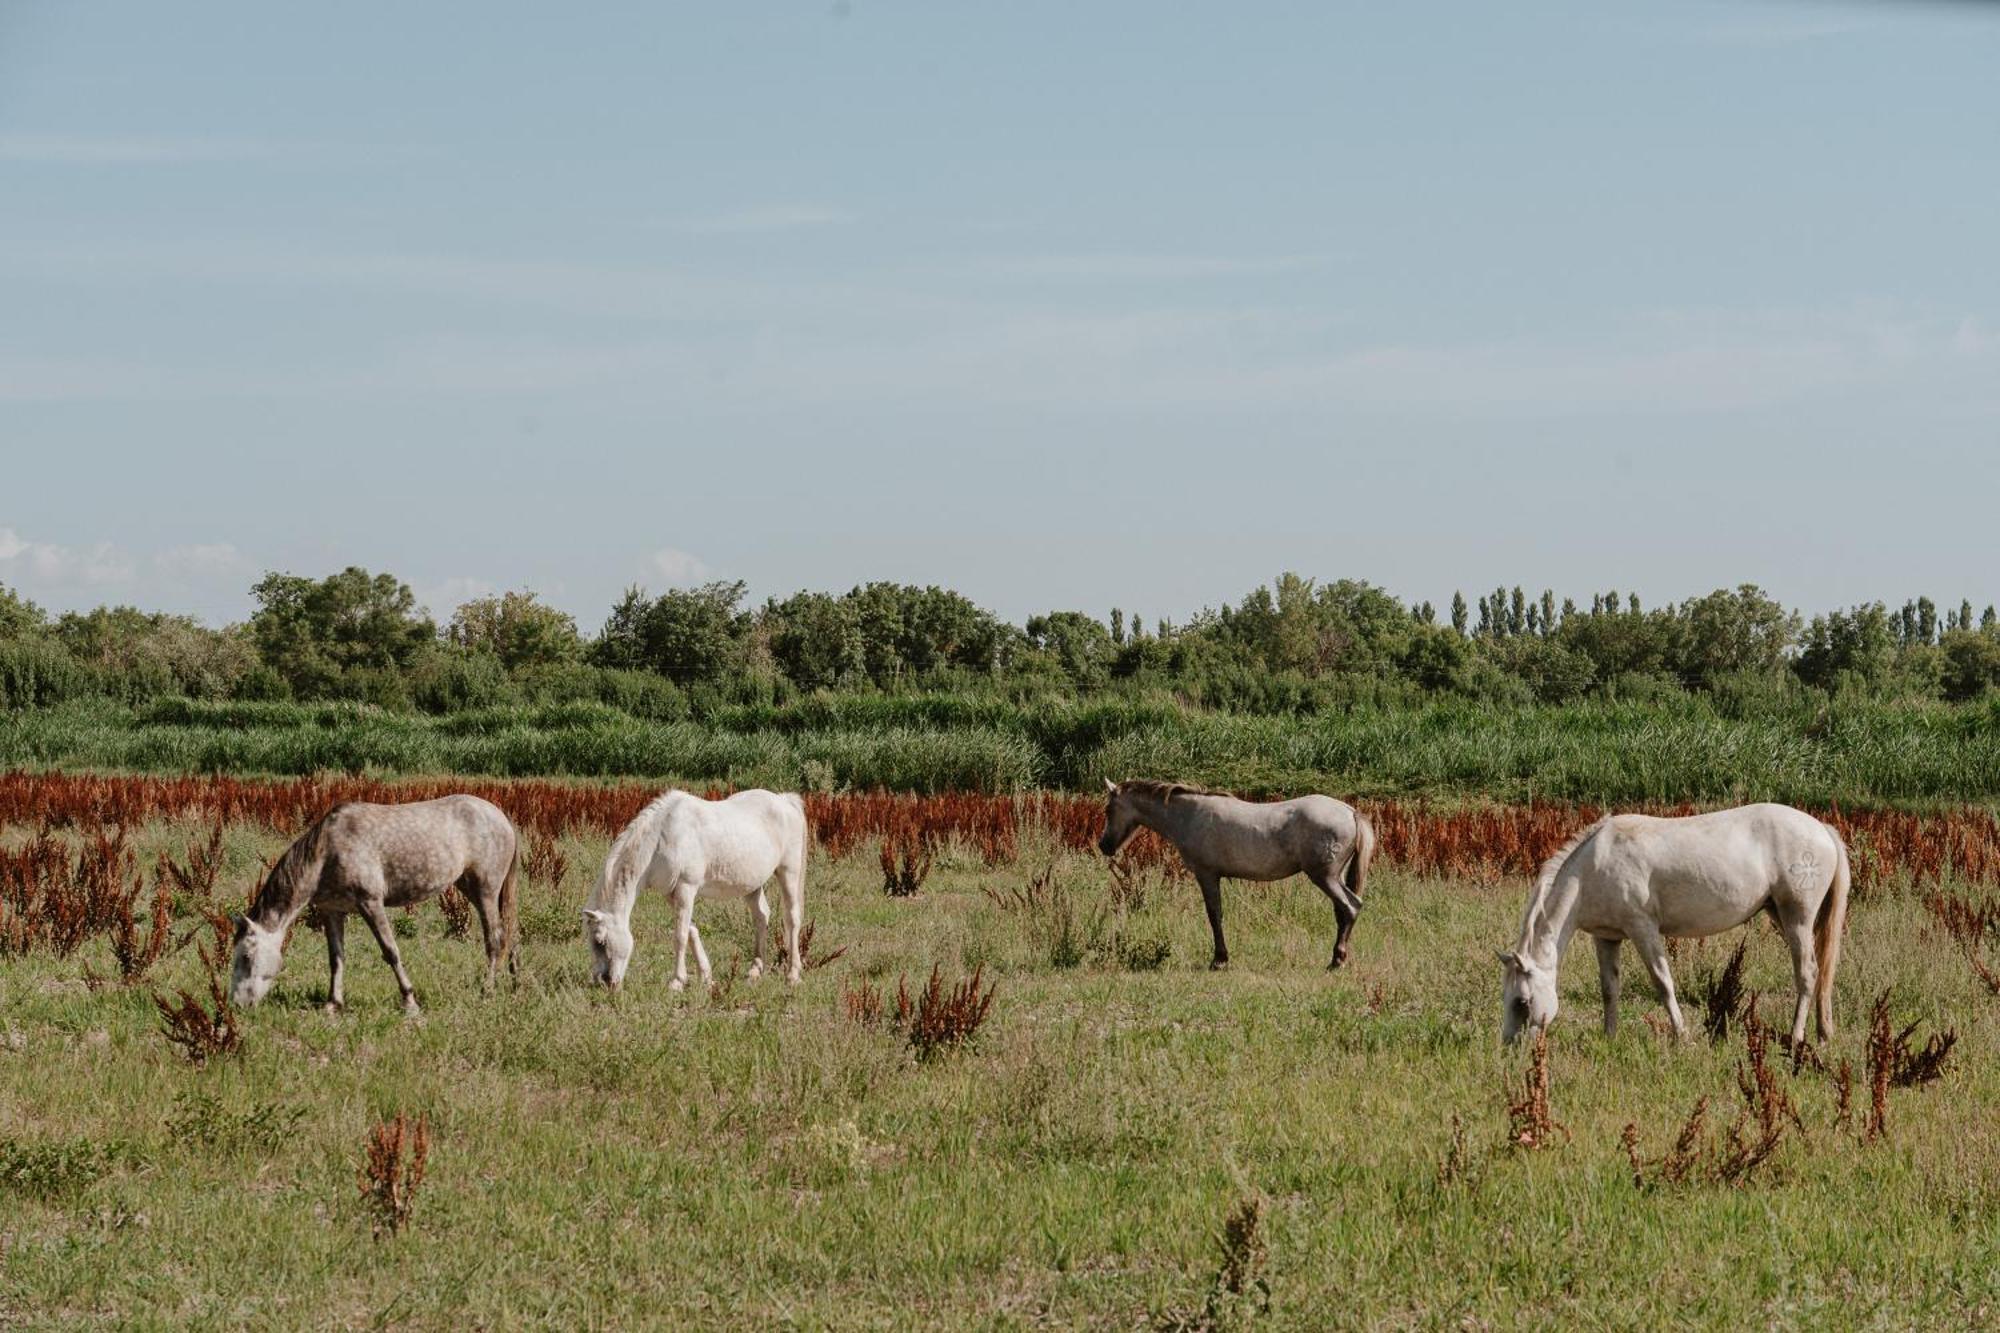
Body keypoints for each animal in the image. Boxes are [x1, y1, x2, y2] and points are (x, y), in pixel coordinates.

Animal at [230, 792, 520, 1012]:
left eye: (246, 956)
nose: (237, 1004)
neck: (328, 852)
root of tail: (501, 817)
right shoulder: (332, 911)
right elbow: (336, 958)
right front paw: (333, 1004)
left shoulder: (370, 903)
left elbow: (391, 951)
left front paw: (410, 1002)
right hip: (473, 889)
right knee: (510, 934)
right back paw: (516, 984)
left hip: (485, 891)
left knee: (495, 940)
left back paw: (487, 991)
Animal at [580, 788, 804, 984]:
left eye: (600, 941)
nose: (604, 982)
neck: (663, 836)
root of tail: (785, 801)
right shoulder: (672, 894)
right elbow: (691, 930)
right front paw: (706, 976)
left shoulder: (686, 888)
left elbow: (679, 936)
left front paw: (677, 981)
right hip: (752, 885)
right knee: (761, 917)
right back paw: (755, 971)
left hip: (789, 872)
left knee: (792, 918)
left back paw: (793, 975)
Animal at [1096, 780, 1376, 964]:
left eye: (1108, 810)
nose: (1104, 846)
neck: (1189, 815)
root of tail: (1350, 811)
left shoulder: (1207, 875)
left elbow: (1214, 915)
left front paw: (1219, 959)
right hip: (1335, 877)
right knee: (1343, 913)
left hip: (1325, 877)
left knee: (1351, 907)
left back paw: (1337, 960)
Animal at [1504, 800, 1840, 1048]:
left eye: (1522, 1001)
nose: (1510, 1046)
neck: (1591, 870)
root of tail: (1821, 829)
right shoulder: (1607, 937)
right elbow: (1609, 988)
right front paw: (1609, 1038)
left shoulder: (1643, 929)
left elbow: (1663, 983)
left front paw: (1682, 1037)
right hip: (1780, 915)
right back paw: (1823, 1035)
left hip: (1796, 918)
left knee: (1808, 973)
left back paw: (1796, 1038)